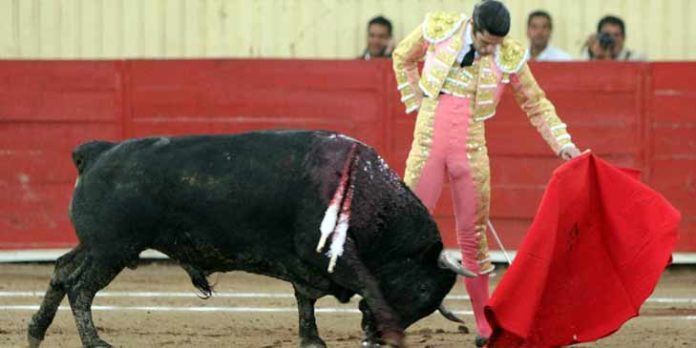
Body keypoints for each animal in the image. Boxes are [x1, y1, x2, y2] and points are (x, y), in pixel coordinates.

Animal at [27, 131, 474, 348]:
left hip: (97, 247)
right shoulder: (336, 254)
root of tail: (96, 152)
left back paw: (35, 331)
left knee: (62, 271)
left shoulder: (306, 263)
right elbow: (368, 285)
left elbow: (305, 298)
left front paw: (312, 339)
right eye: (422, 289)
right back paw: (95, 342)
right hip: (112, 250)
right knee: (80, 288)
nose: (378, 335)